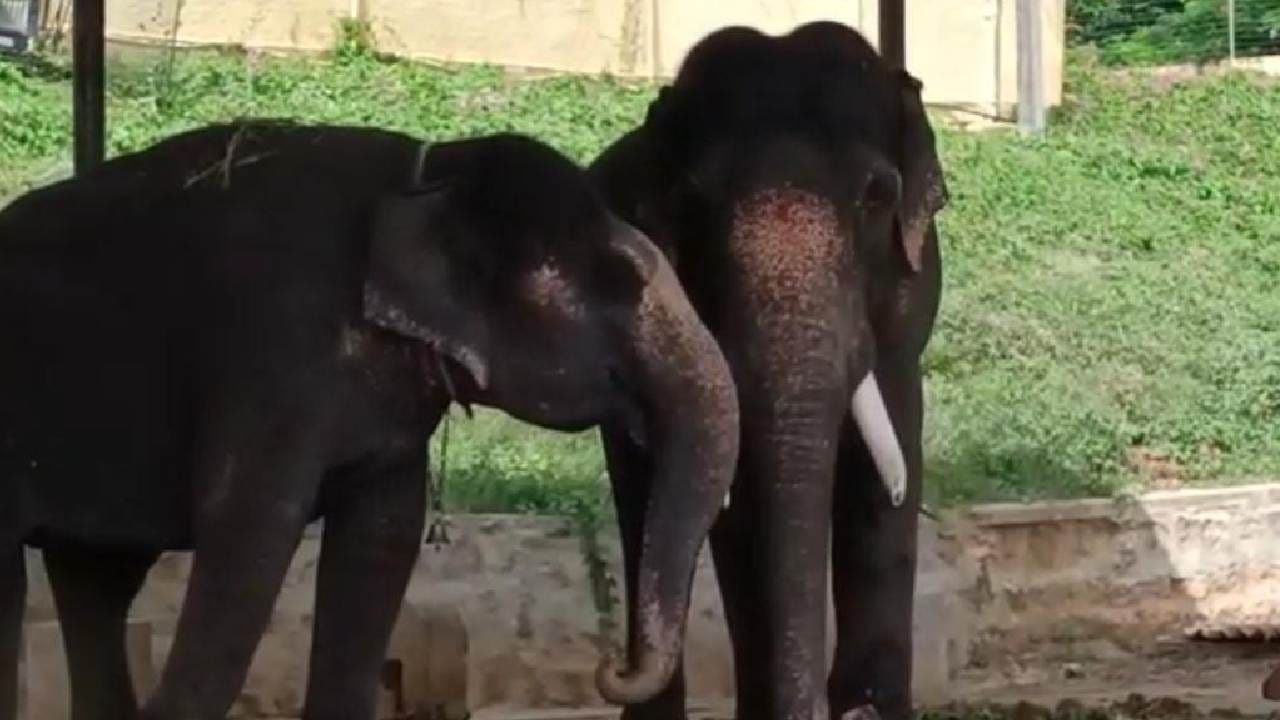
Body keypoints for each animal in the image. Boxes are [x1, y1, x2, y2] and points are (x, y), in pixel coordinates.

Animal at [0, 121, 740, 720]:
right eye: (621, 279)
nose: (611, 667)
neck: (431, 170)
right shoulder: (275, 352)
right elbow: (251, 526)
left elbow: (383, 536)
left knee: (94, 582)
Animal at [589, 22, 949, 720]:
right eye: (691, 202)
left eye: (878, 197)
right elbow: (736, 513)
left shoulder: (905, 315)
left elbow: (886, 475)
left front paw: (869, 708)